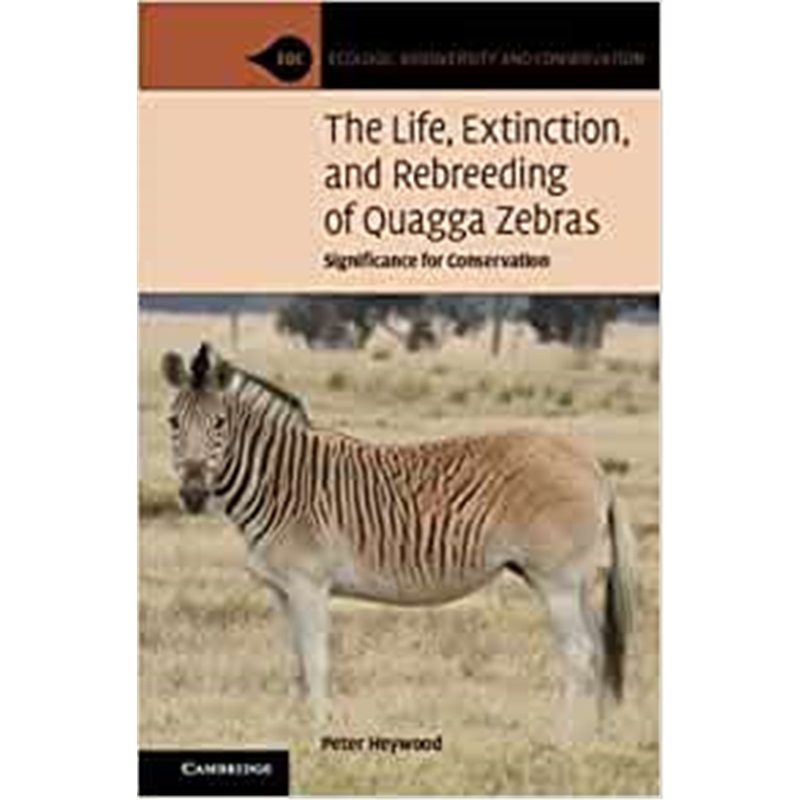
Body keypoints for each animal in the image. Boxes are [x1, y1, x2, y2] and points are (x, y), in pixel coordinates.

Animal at [161, 342, 636, 734]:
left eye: (220, 423)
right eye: (172, 422)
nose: (193, 495)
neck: (281, 485)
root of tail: (592, 464)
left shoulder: (309, 584)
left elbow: (315, 661)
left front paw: (318, 735)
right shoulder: (281, 590)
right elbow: (295, 662)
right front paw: (295, 730)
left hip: (556, 579)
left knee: (578, 653)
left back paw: (561, 741)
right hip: (573, 580)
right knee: (598, 646)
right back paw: (596, 736)